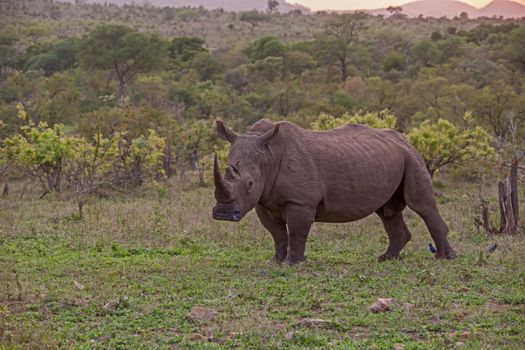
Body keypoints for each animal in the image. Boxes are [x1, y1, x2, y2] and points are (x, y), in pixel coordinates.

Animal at [211, 119, 456, 264]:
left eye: (250, 183)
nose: (223, 214)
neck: (268, 156)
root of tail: (404, 139)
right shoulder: (263, 201)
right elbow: (277, 234)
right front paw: (276, 261)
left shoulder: (300, 202)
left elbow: (297, 233)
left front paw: (293, 263)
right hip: (392, 158)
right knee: (388, 211)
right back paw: (386, 258)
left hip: (411, 158)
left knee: (421, 206)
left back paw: (446, 258)